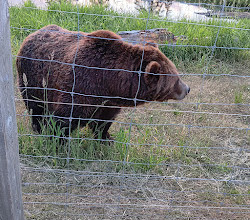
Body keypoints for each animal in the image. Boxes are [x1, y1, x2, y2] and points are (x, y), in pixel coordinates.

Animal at [17, 24, 189, 139]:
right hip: (32, 77)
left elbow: (104, 119)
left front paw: (106, 137)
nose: (187, 89)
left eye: (177, 74)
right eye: (176, 79)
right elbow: (64, 118)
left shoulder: (109, 101)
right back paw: (38, 126)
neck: (109, 81)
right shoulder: (81, 84)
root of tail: (32, 34)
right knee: (35, 105)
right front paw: (56, 138)